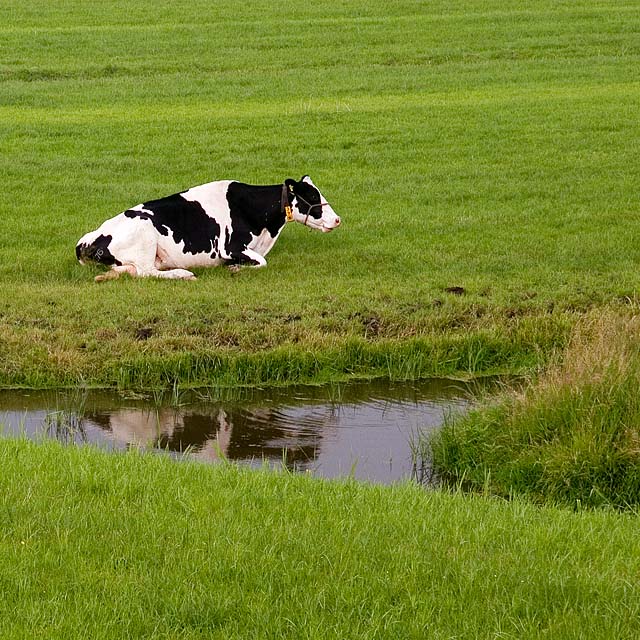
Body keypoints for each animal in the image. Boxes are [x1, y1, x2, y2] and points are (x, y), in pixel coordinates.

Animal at [76, 178, 340, 282]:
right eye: (312, 196)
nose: (337, 220)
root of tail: (87, 239)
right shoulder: (229, 247)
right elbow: (262, 262)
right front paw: (235, 268)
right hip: (144, 237)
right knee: (146, 273)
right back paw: (183, 274)